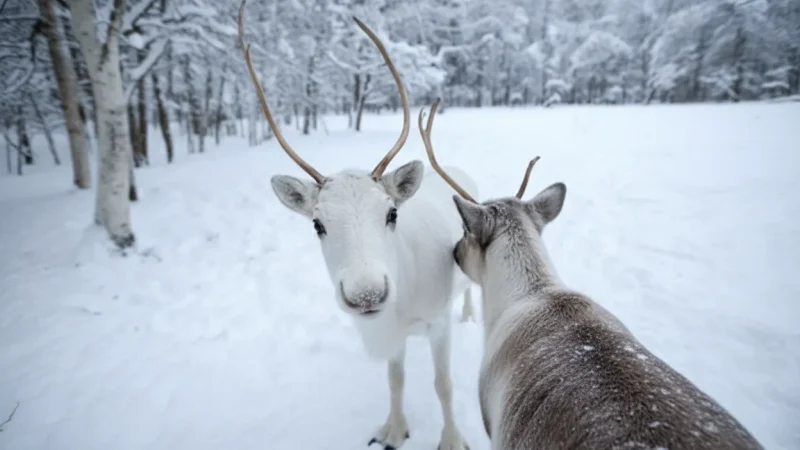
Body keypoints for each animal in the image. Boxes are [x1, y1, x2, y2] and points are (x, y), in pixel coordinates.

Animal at [237, 2, 476, 449]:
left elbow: (444, 384)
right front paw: (393, 430)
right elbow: (396, 379)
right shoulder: (392, 332)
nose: (366, 295)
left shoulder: (438, 324)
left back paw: (470, 313)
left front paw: (453, 439)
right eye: (317, 224)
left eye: (392, 213)